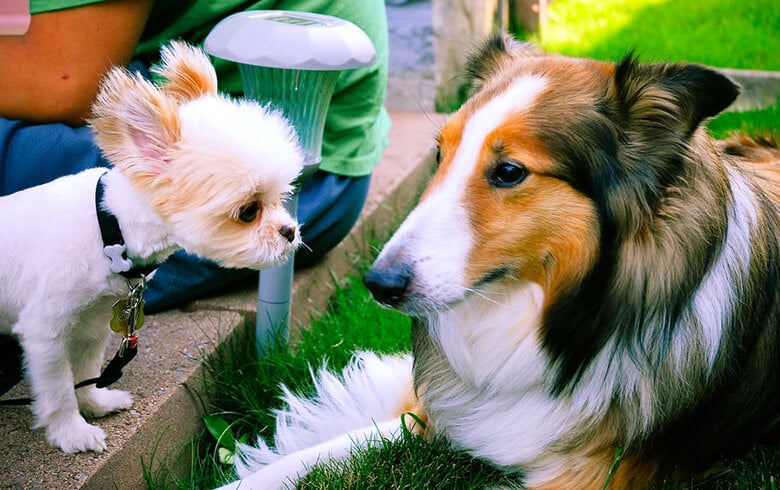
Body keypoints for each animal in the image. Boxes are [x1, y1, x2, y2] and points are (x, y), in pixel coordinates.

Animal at [0, 42, 302, 452]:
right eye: (248, 212)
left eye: (281, 198)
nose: (290, 231)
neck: (109, 229)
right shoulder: (46, 330)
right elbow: (59, 387)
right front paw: (72, 431)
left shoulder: (92, 322)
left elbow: (86, 370)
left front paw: (94, 403)